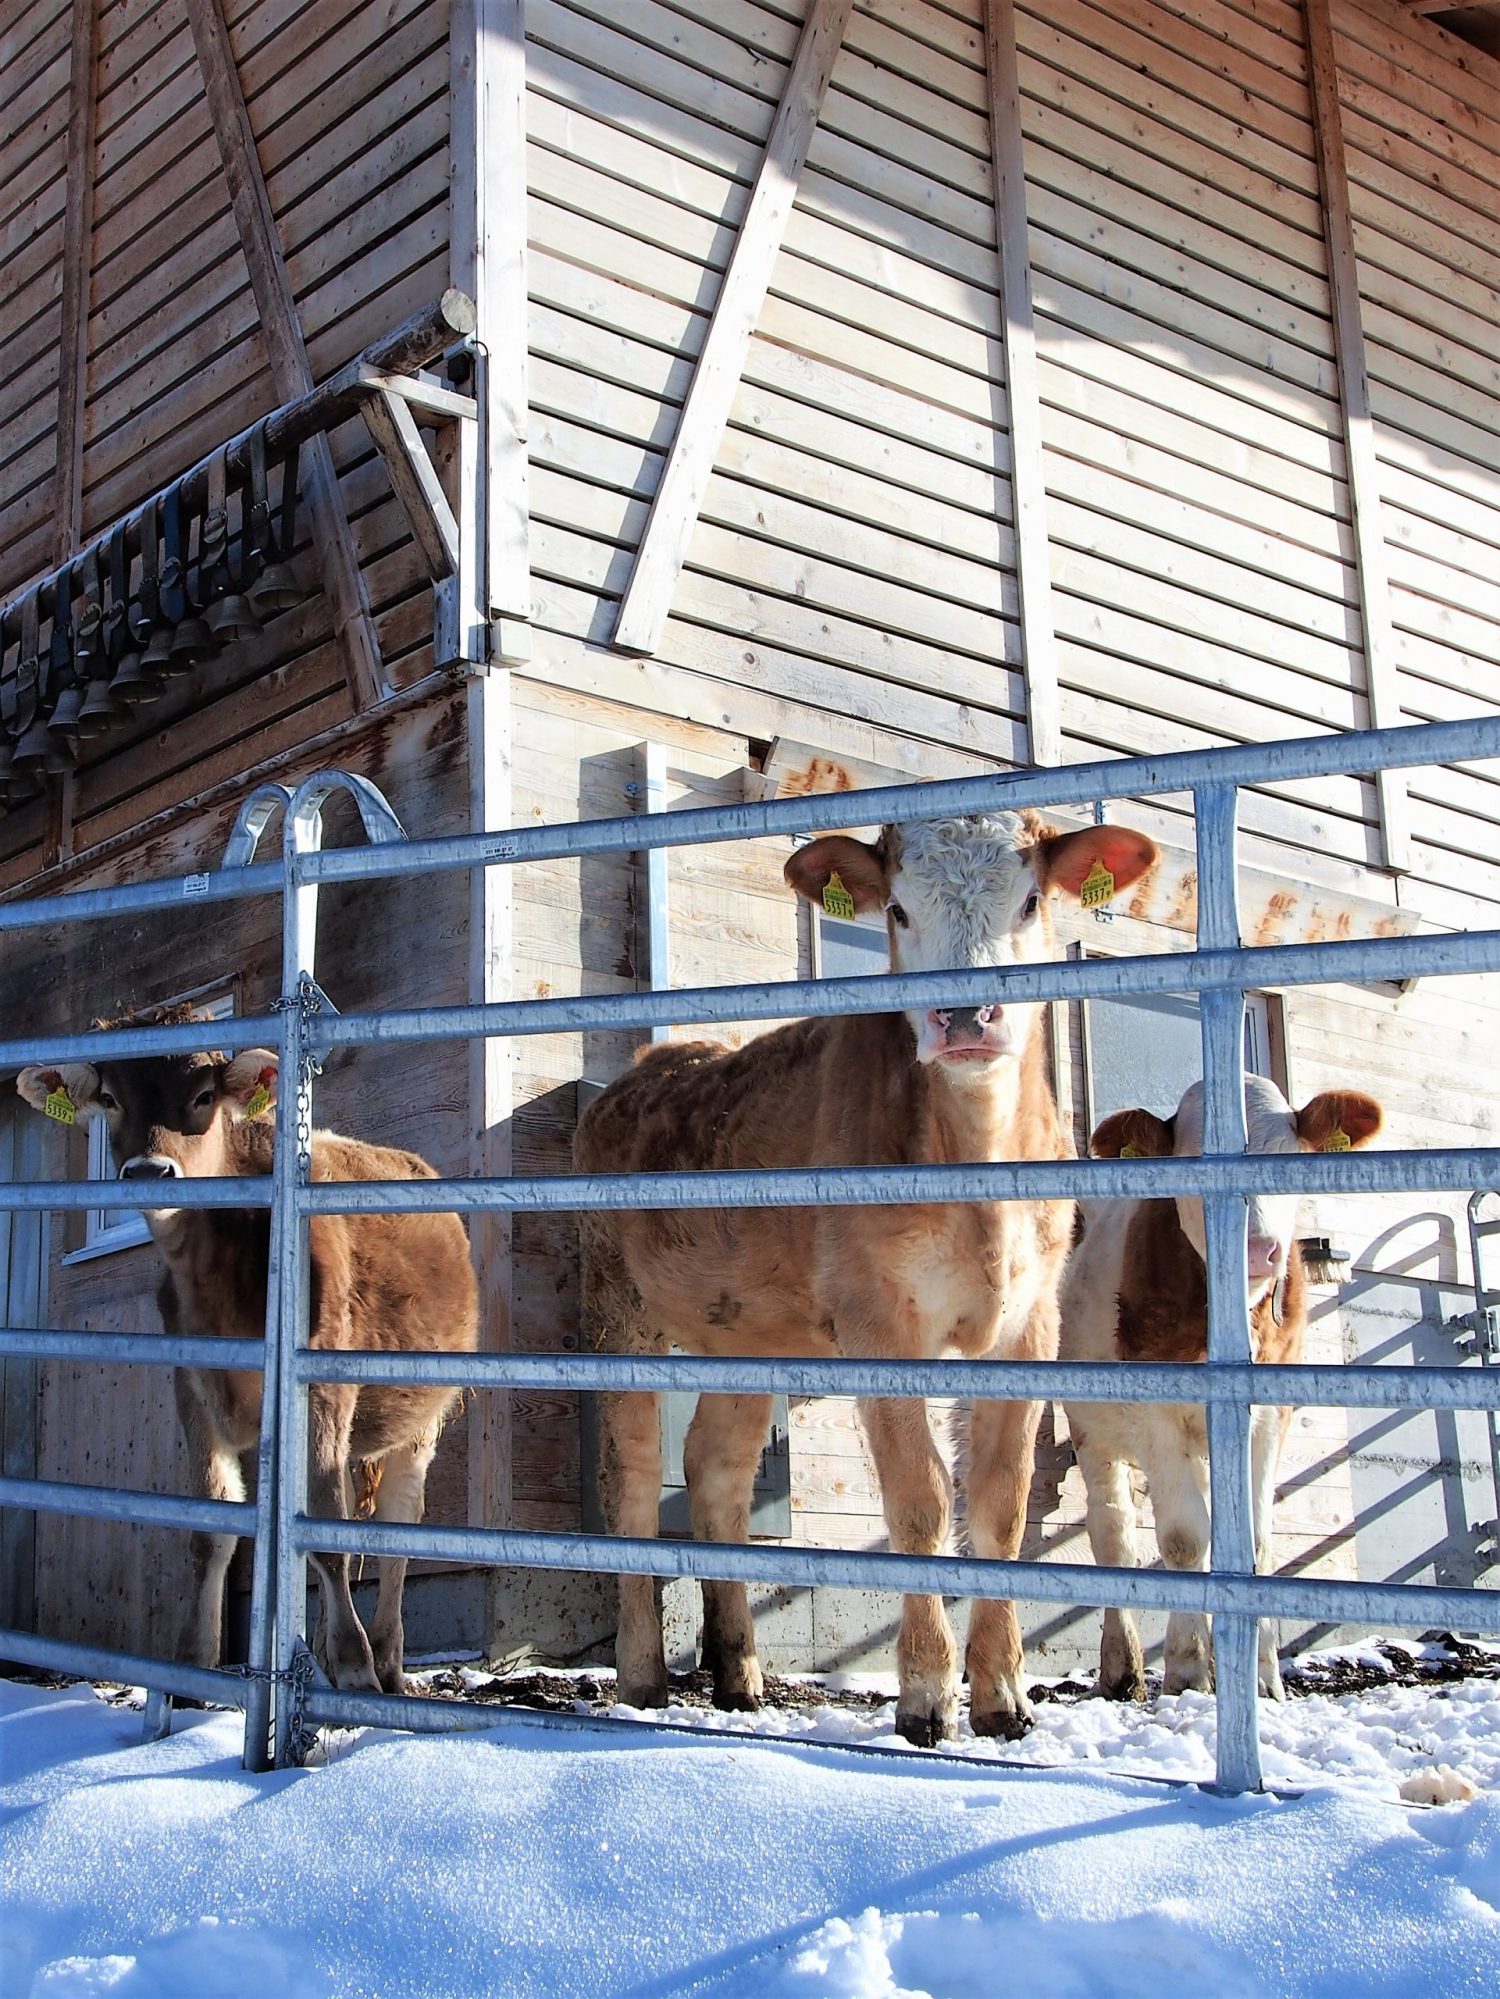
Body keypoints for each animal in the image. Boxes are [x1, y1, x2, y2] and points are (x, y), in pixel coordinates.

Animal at [17, 1007, 482, 1695]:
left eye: (204, 1097)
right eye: (110, 1098)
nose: (149, 1172)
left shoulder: (321, 1387)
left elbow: (326, 1534)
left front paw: (355, 1667)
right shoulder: (192, 1388)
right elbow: (215, 1529)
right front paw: (193, 1669)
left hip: (421, 1415)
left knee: (398, 1520)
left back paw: (386, 1659)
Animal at [580, 803, 1160, 1743]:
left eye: (1031, 899)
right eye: (896, 910)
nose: (965, 1016)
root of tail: (650, 1067)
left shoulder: (1029, 1322)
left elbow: (999, 1499)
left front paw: (1003, 1695)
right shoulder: (876, 1316)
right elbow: (919, 1497)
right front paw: (925, 1696)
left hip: (746, 1329)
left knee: (715, 1467)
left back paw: (739, 1674)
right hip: (617, 1304)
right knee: (630, 1474)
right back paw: (641, 1676)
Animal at [1056, 1079, 1384, 1703]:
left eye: (1288, 1159)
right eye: (1192, 1158)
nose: (1257, 1251)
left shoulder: (1270, 1413)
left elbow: (1253, 1541)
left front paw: (1262, 1677)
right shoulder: (1157, 1416)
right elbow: (1184, 1538)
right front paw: (1186, 1672)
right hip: (1094, 1431)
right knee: (1114, 1532)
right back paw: (1123, 1668)